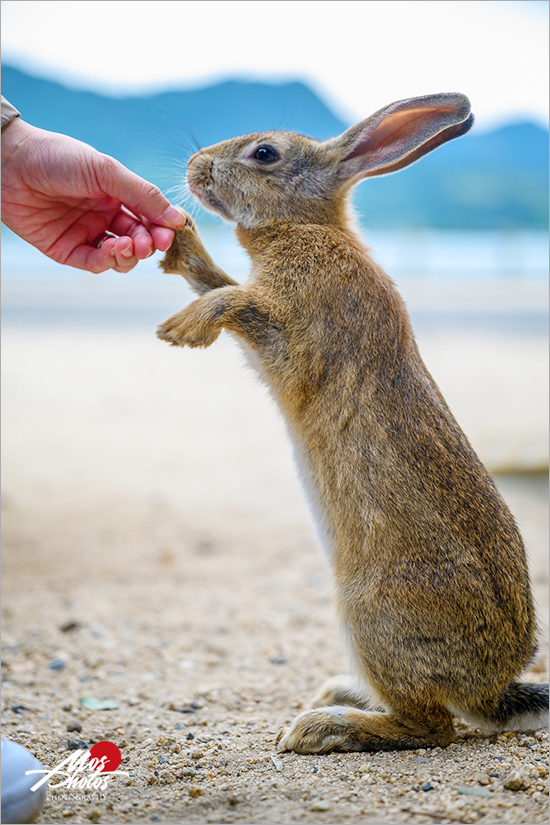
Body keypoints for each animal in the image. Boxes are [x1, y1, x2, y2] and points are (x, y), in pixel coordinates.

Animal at [157, 91, 548, 752]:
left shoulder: (296, 346)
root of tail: (489, 688)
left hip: (370, 615)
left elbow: (234, 300)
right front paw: (183, 249)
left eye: (265, 154)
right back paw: (337, 696)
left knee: (431, 726)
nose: (194, 165)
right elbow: (222, 283)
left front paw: (183, 328)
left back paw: (321, 727)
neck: (305, 228)